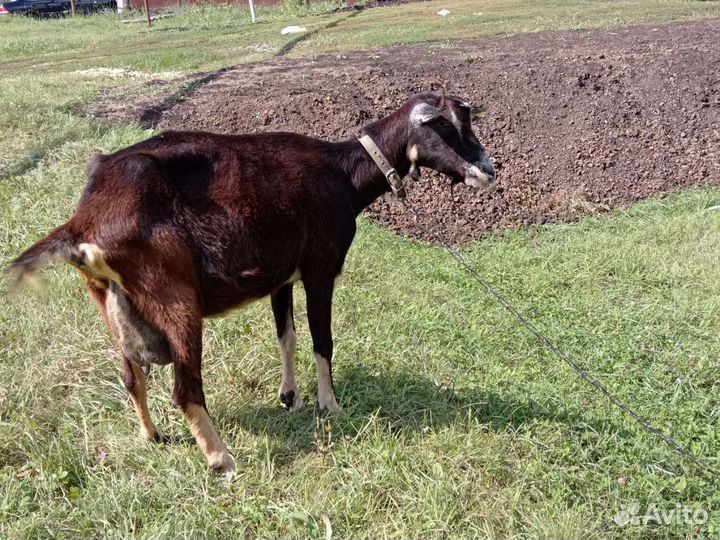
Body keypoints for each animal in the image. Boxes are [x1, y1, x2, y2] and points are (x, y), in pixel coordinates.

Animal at [8, 92, 496, 476]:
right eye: (448, 127)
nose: (489, 172)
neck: (343, 172)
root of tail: (84, 222)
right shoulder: (320, 268)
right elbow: (322, 339)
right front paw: (331, 406)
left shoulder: (281, 276)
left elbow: (287, 336)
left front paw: (291, 398)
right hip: (173, 295)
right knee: (185, 388)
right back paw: (222, 459)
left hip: (109, 304)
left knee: (132, 376)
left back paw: (153, 437)